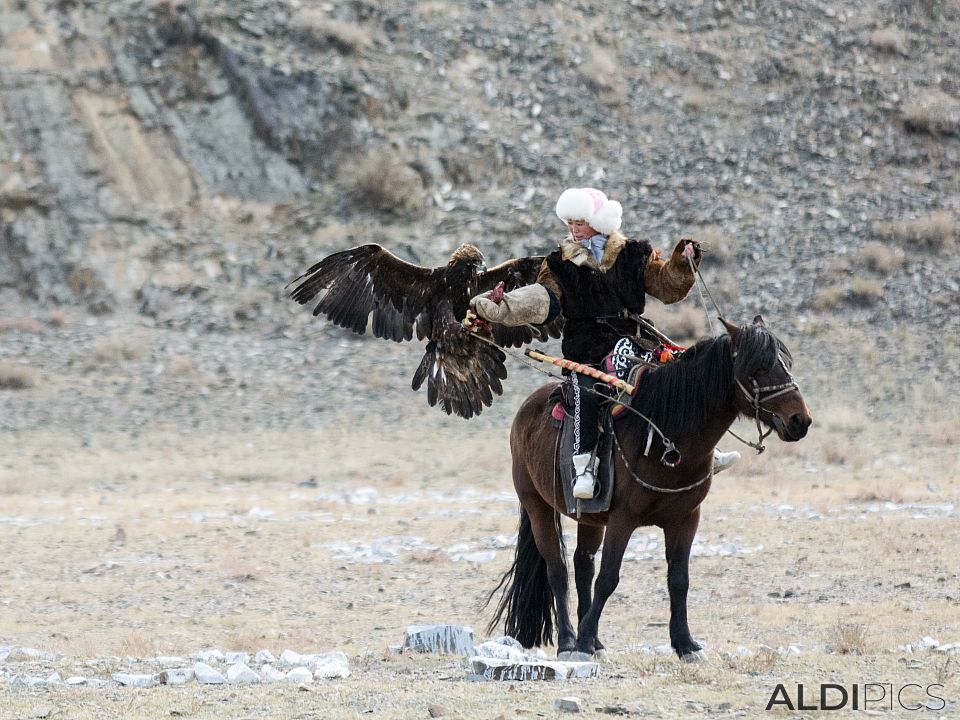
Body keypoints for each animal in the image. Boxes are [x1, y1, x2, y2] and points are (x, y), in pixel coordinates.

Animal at [488, 316, 808, 660]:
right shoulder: (622, 519)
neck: (667, 434)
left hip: (590, 517)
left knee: (582, 565)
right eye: (760, 367)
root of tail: (528, 408)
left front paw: (685, 644)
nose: (800, 420)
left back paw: (596, 641)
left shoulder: (685, 519)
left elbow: (678, 580)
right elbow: (608, 579)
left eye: (786, 363)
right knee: (558, 571)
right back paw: (569, 641)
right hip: (538, 506)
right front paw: (584, 641)